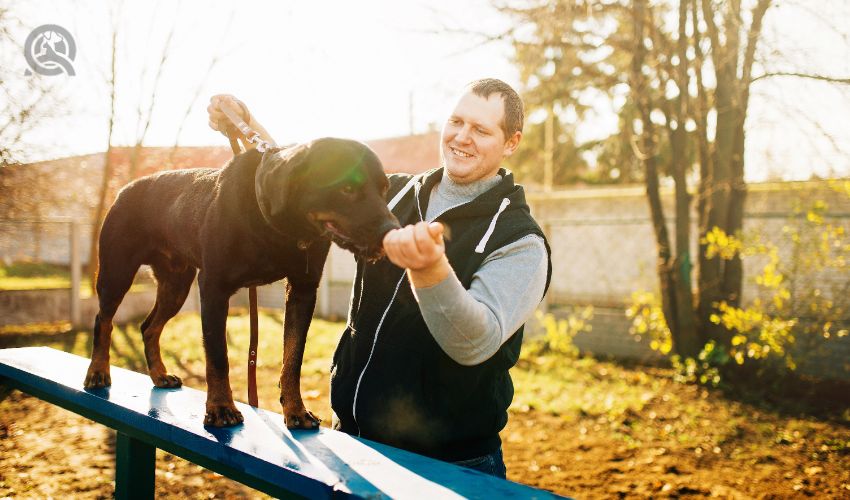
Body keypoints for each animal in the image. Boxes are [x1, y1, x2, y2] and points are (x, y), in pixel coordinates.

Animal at [84, 139, 400, 428]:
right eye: (347, 189)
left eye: (384, 189)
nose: (392, 231)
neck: (276, 226)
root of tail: (124, 189)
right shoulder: (213, 288)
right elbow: (217, 357)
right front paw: (221, 408)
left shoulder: (303, 290)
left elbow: (293, 358)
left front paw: (295, 410)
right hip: (117, 273)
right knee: (104, 319)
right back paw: (98, 372)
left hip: (176, 286)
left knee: (149, 327)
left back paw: (159, 375)